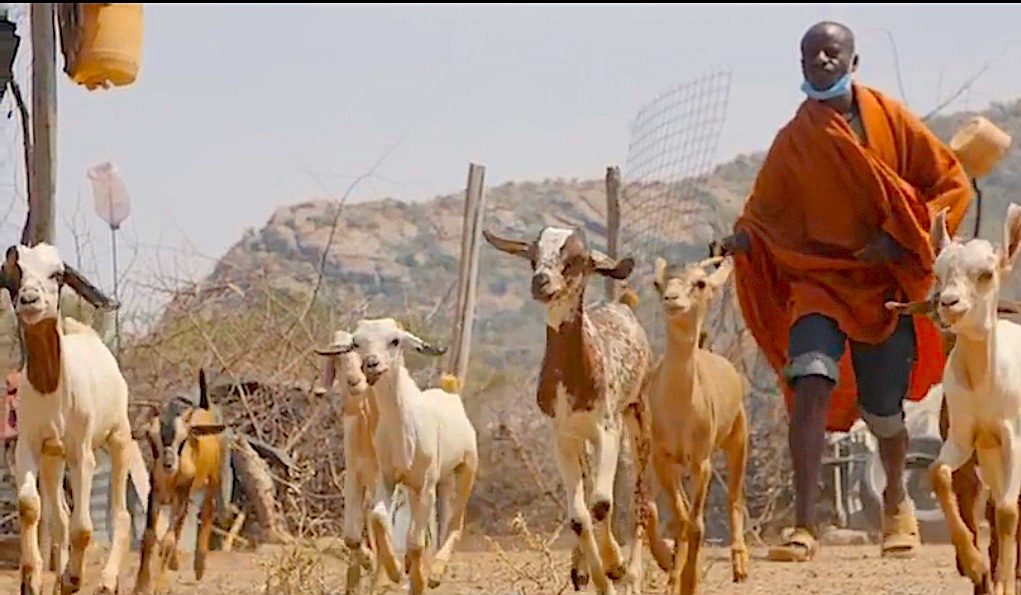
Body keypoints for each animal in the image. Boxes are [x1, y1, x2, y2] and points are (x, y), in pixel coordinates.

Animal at [3, 242, 131, 595]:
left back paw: (107, 580)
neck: (52, 391)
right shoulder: (29, 445)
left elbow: (84, 527)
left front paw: (74, 578)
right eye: (14, 271)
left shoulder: (81, 451)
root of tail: (85, 333)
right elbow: (30, 506)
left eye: (57, 275)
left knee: (121, 514)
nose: (30, 299)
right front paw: (31, 578)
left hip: (119, 435)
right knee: (59, 517)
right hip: (53, 457)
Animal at [318, 320, 477, 595]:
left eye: (395, 340)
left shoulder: (424, 487)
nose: (371, 364)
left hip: (466, 468)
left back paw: (434, 574)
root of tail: (451, 392)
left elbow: (415, 541)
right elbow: (378, 519)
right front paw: (393, 570)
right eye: (357, 343)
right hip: (430, 483)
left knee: (454, 523)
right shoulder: (386, 480)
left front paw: (416, 578)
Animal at [481, 225, 649, 591]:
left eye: (575, 260)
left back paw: (632, 574)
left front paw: (615, 567)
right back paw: (581, 569)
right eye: (532, 258)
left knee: (640, 494)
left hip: (636, 414)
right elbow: (579, 516)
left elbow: (601, 504)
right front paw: (597, 576)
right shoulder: (562, 435)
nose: (541, 281)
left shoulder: (607, 428)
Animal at [886, 205, 1021, 595]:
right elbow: (939, 474)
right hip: (989, 459)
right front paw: (976, 565)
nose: (950, 304)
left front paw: (1004, 582)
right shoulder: (964, 438)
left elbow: (1008, 511)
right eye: (939, 272)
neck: (984, 382)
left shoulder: (1014, 436)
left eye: (986, 273)